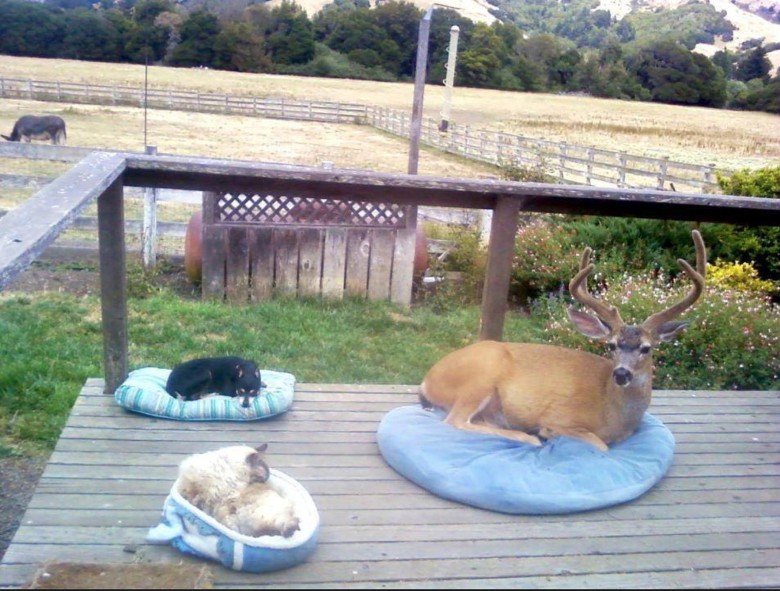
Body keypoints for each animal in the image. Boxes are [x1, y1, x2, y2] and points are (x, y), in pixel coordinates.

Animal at [418, 229, 706, 452]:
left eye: (646, 348)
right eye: (611, 345)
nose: (622, 373)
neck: (611, 412)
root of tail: (427, 380)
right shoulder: (562, 417)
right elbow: (600, 445)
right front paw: (547, 432)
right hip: (481, 375)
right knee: (455, 420)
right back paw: (529, 437)